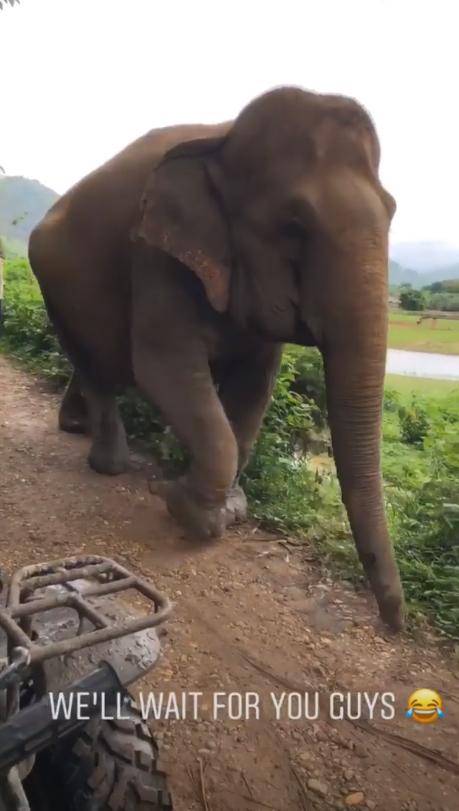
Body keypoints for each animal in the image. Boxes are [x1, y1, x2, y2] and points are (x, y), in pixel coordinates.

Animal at [27, 89, 404, 636]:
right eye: (293, 226)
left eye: (393, 210)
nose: (394, 622)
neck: (223, 141)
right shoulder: (154, 251)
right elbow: (164, 367)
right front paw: (186, 506)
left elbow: (255, 383)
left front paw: (228, 507)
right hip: (52, 284)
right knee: (94, 361)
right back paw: (109, 464)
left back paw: (75, 427)